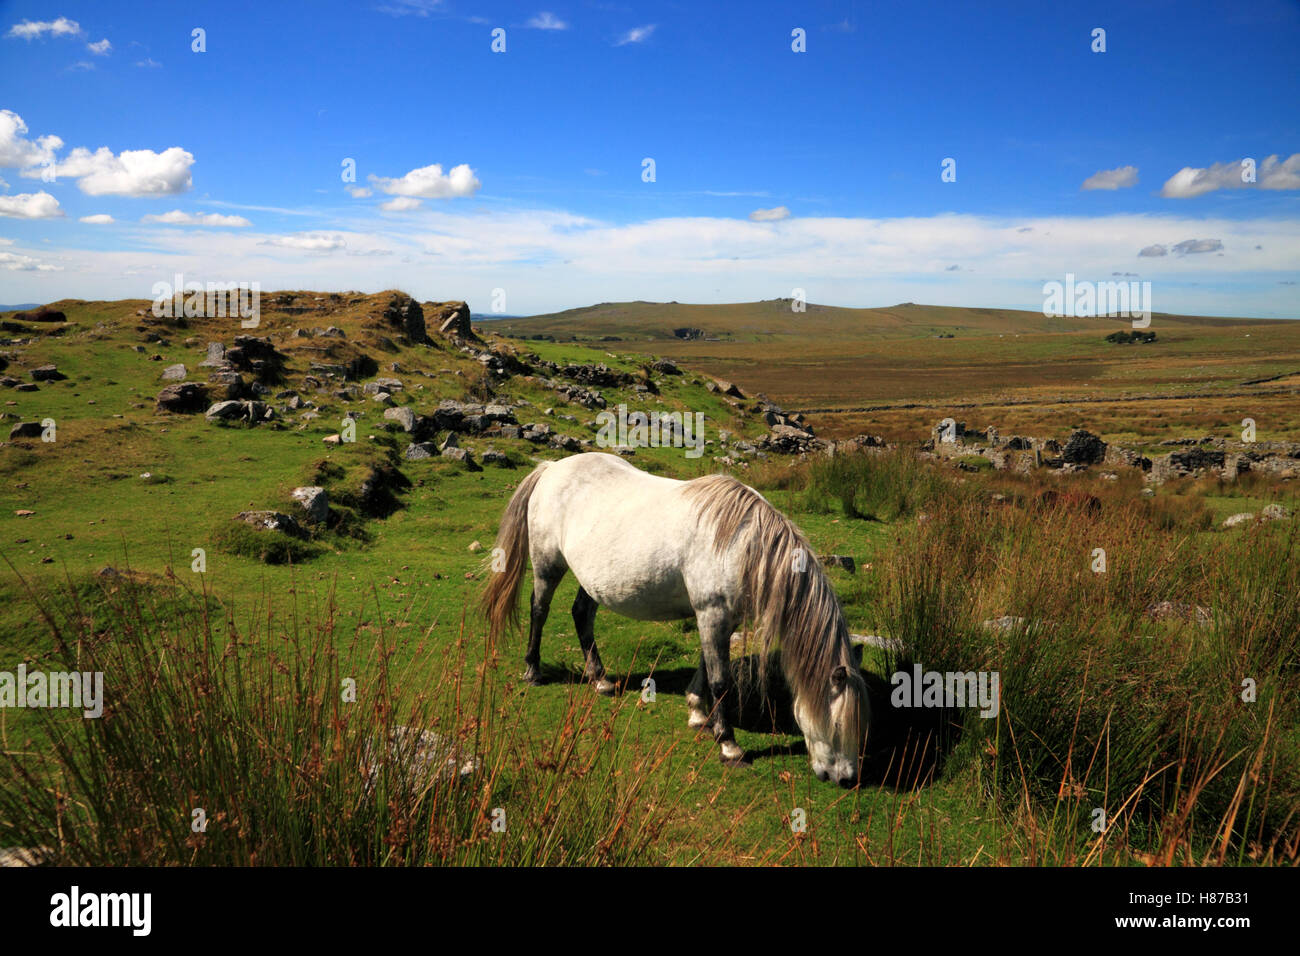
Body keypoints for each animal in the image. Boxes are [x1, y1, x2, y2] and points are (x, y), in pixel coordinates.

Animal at [481, 452, 870, 786]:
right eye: (838, 725)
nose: (847, 779)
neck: (742, 544)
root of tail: (552, 468)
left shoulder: (718, 617)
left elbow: (706, 668)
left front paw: (698, 713)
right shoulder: (712, 613)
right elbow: (721, 681)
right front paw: (729, 746)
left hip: (592, 579)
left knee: (581, 615)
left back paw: (600, 680)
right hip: (547, 565)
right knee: (539, 610)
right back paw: (533, 671)